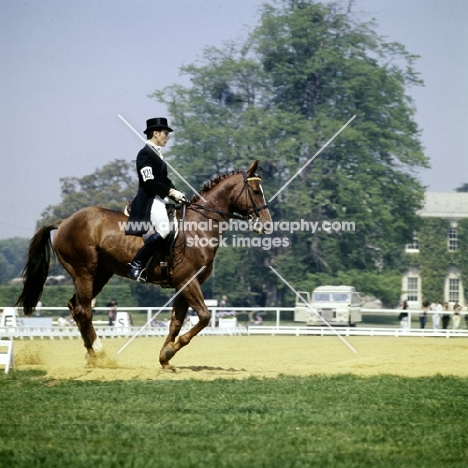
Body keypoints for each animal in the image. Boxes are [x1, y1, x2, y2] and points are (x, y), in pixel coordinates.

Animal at [16, 159, 272, 368]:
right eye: (255, 191)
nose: (267, 225)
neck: (198, 227)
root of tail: (64, 221)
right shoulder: (188, 281)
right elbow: (205, 316)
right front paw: (170, 350)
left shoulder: (184, 284)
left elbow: (176, 322)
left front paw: (165, 356)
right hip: (84, 273)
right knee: (83, 310)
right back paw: (100, 353)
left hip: (101, 274)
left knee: (75, 308)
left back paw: (91, 355)